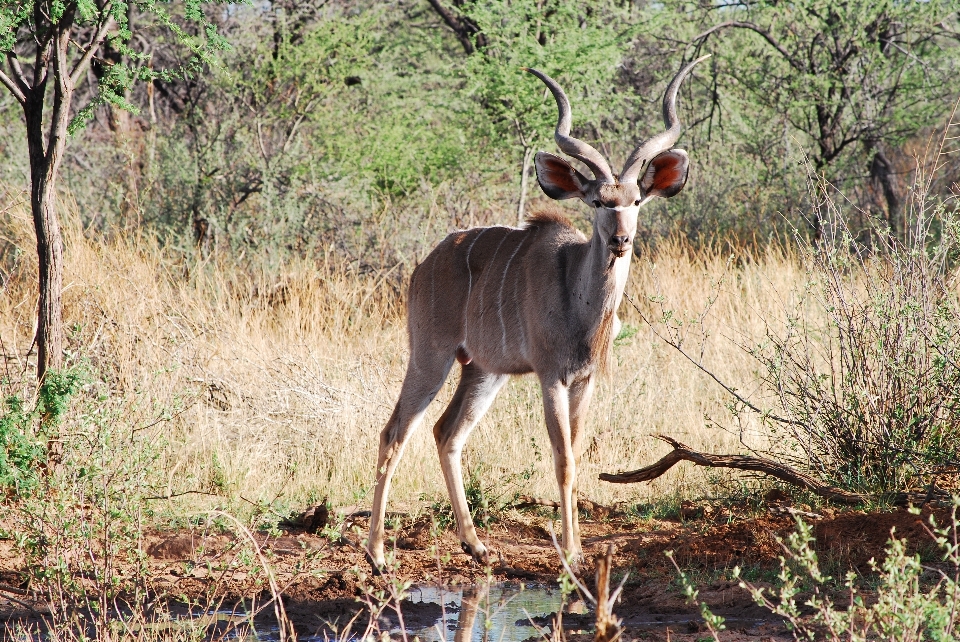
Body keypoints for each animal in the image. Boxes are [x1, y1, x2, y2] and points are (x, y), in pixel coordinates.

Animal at [366, 55, 704, 564]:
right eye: (598, 201)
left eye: (636, 201)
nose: (621, 239)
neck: (579, 302)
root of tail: (422, 267)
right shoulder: (551, 377)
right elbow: (562, 461)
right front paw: (572, 553)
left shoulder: (584, 380)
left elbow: (577, 457)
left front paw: (575, 546)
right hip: (431, 356)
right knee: (395, 433)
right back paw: (377, 553)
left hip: (483, 370)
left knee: (447, 433)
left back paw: (476, 545)